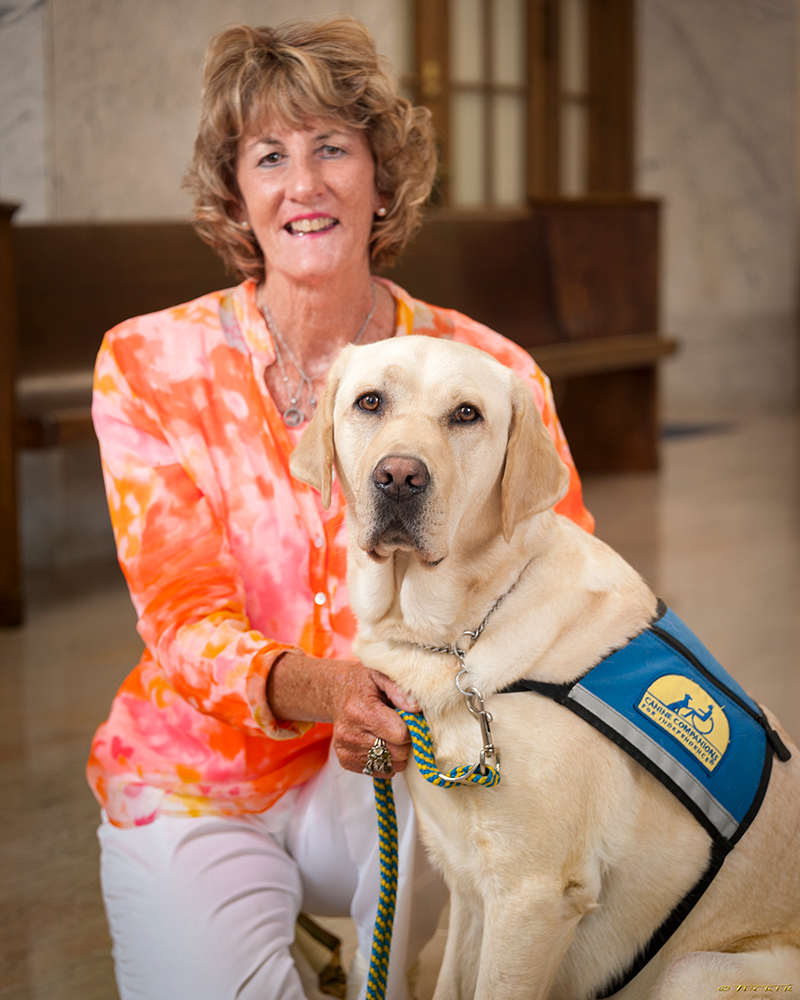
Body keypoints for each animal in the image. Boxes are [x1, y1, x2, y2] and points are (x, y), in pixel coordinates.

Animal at [292, 338, 800, 1000]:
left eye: (466, 414)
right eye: (370, 402)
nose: (399, 476)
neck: (457, 635)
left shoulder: (533, 897)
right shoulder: (470, 889)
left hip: (693, 969)